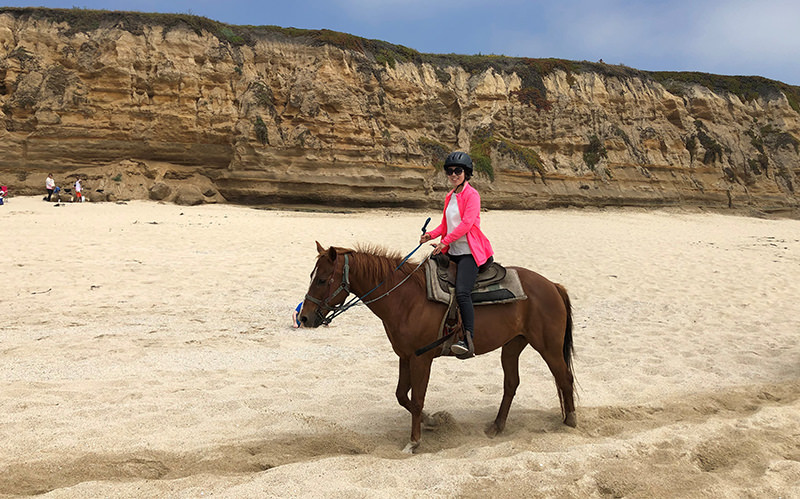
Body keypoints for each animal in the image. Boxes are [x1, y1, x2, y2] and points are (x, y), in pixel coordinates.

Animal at [300, 242, 576, 454]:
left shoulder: (421, 359)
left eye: (322, 280)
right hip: (512, 345)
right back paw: (497, 427)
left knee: (564, 377)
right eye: (312, 277)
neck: (406, 298)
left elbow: (417, 399)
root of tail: (552, 285)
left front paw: (414, 442)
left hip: (548, 347)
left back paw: (570, 420)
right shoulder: (405, 356)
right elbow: (402, 396)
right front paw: (432, 420)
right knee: (511, 384)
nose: (304, 317)